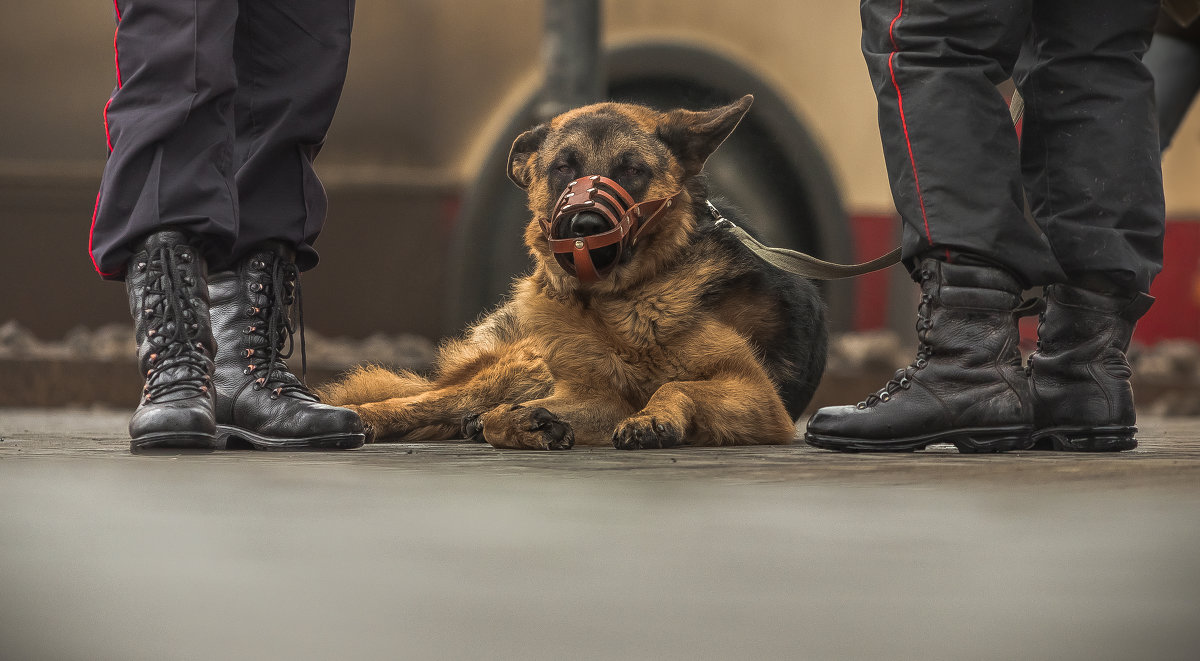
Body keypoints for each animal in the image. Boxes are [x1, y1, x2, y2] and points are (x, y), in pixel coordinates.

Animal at [319, 94, 825, 451]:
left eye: (633, 170)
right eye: (564, 167)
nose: (585, 225)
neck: (617, 308)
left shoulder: (758, 397)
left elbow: (677, 384)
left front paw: (653, 417)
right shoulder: (594, 395)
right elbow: (505, 416)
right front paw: (520, 424)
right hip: (522, 366)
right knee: (430, 400)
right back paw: (365, 417)